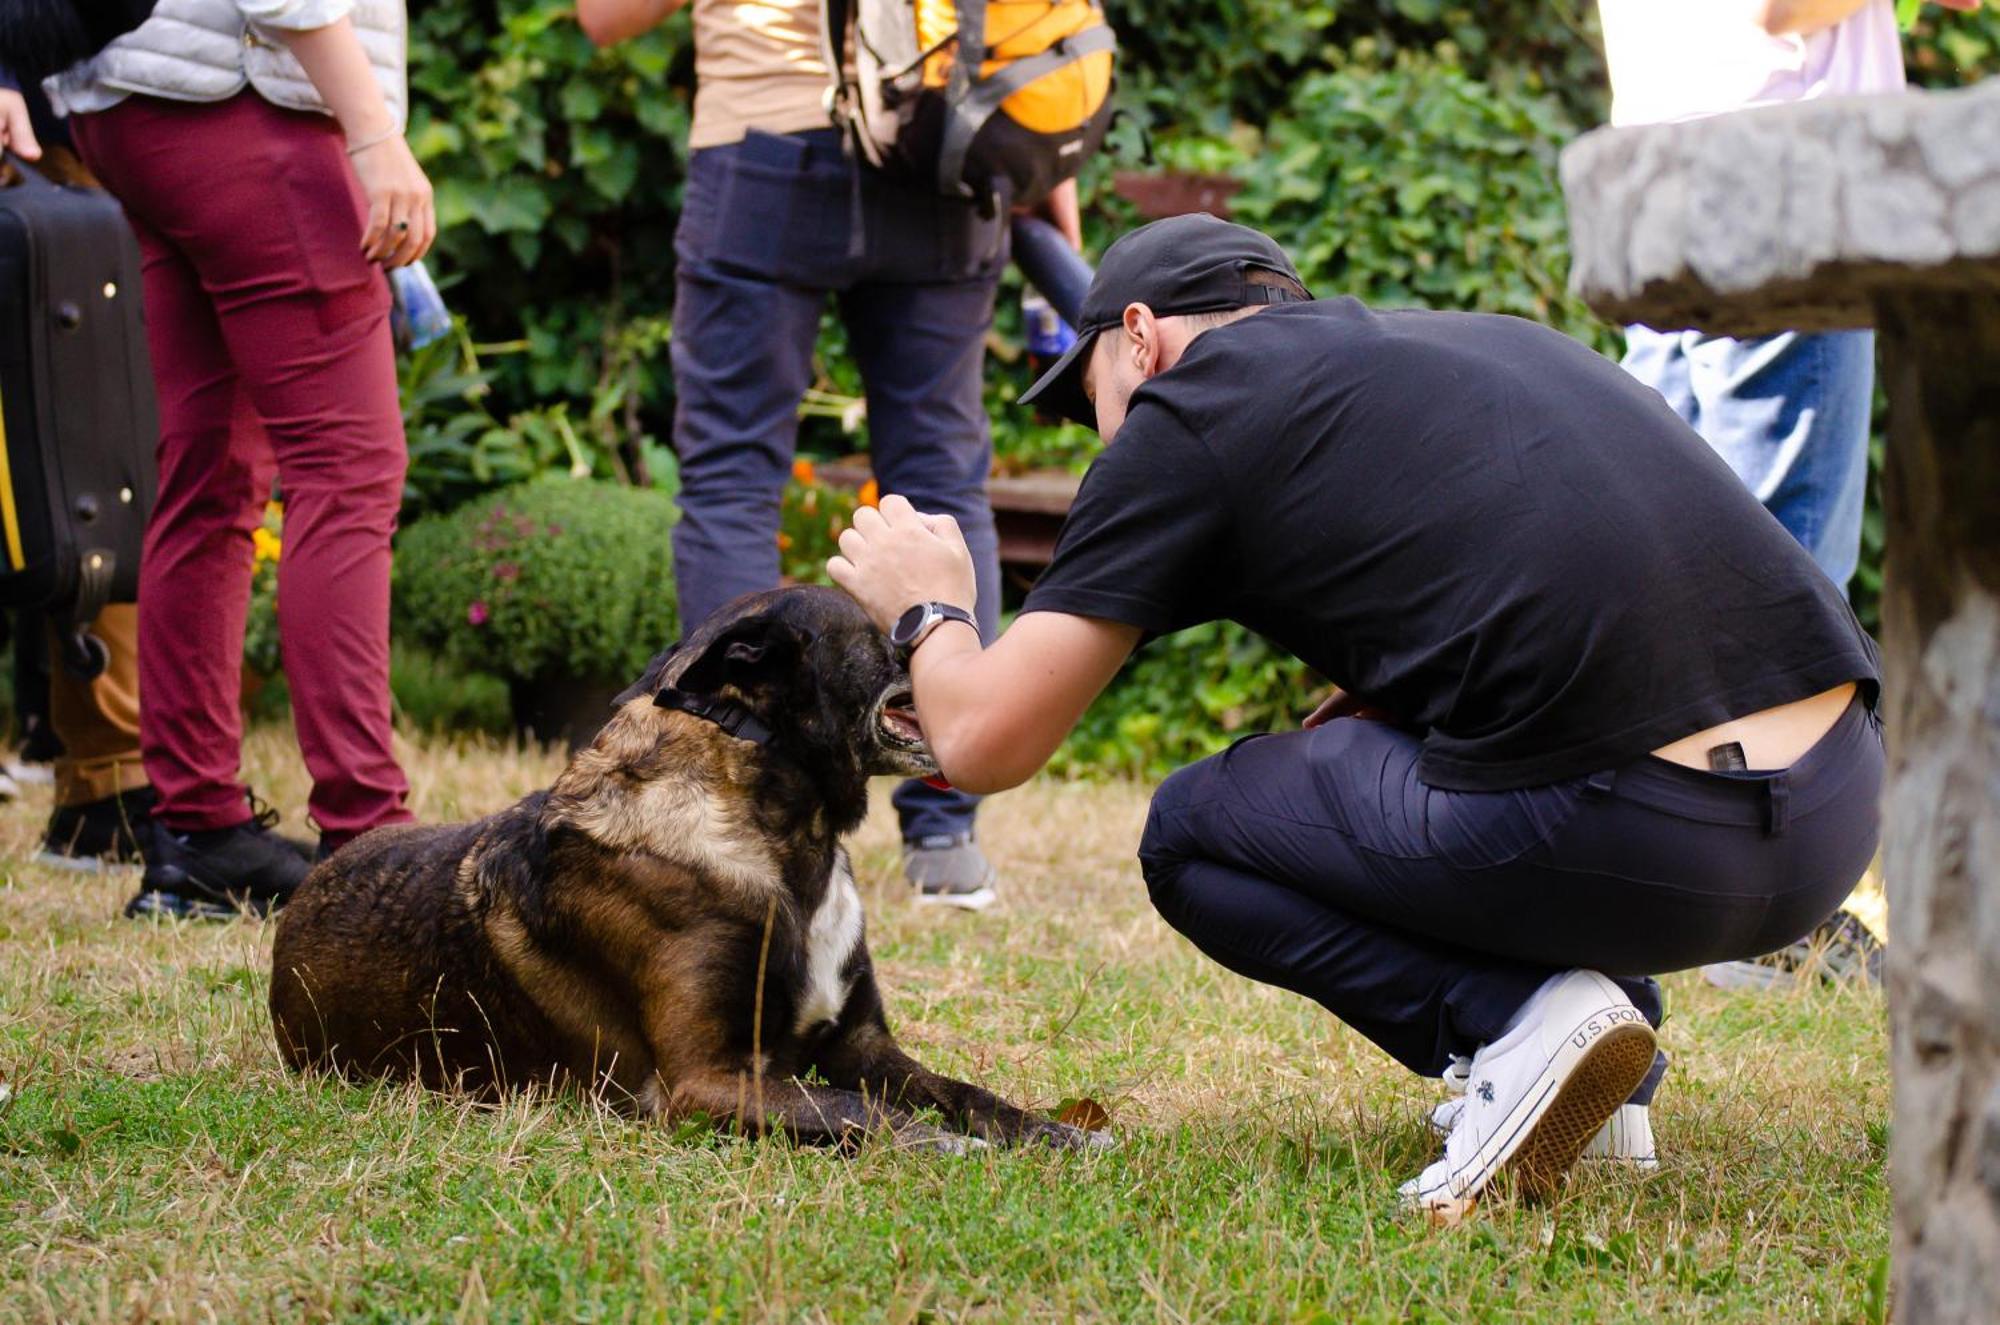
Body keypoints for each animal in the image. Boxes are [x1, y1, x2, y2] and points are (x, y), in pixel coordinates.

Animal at [268, 588, 1104, 1160]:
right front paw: (946, 1145)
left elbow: (963, 1090)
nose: (990, 635)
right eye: (882, 637)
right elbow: (854, 1109)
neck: (785, 840)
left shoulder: (861, 1044)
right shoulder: (702, 1080)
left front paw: (1053, 1130)